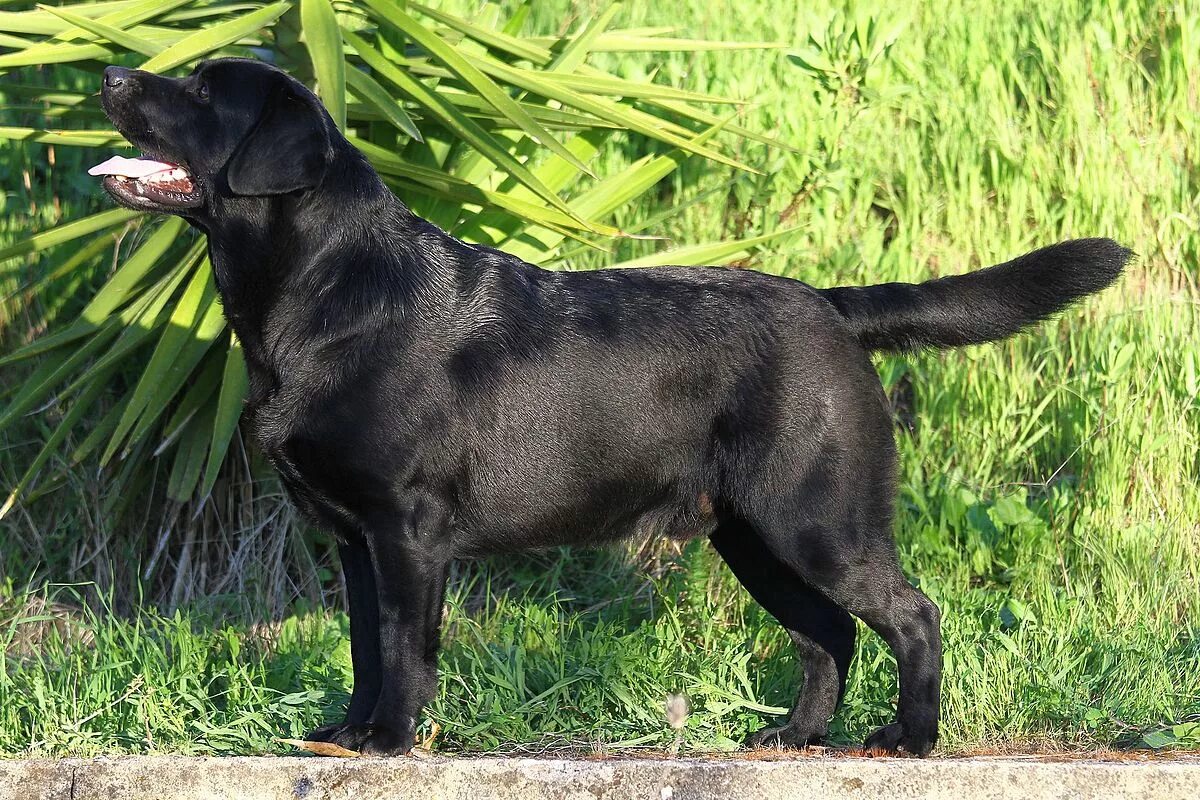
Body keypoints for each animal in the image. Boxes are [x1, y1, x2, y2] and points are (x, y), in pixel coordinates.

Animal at [91, 57, 1123, 758]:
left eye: (200, 94)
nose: (108, 73)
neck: (324, 289)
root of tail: (832, 305)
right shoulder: (352, 539)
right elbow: (362, 646)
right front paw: (343, 735)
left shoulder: (407, 528)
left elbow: (403, 646)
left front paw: (388, 742)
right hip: (752, 536)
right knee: (826, 635)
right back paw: (794, 737)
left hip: (817, 520)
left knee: (912, 615)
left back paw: (907, 740)